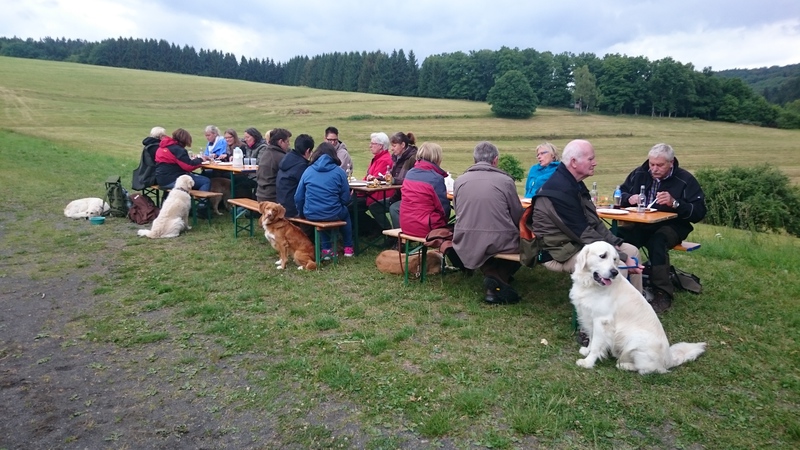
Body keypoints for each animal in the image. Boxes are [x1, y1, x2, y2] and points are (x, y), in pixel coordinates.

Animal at [569, 241, 705, 374]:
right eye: (603, 256)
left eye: (615, 259)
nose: (614, 272)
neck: (590, 284)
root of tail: (669, 359)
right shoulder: (589, 317)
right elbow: (592, 338)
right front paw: (587, 351)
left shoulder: (602, 320)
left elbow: (596, 344)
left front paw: (588, 362)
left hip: (635, 339)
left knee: (648, 369)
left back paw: (624, 365)